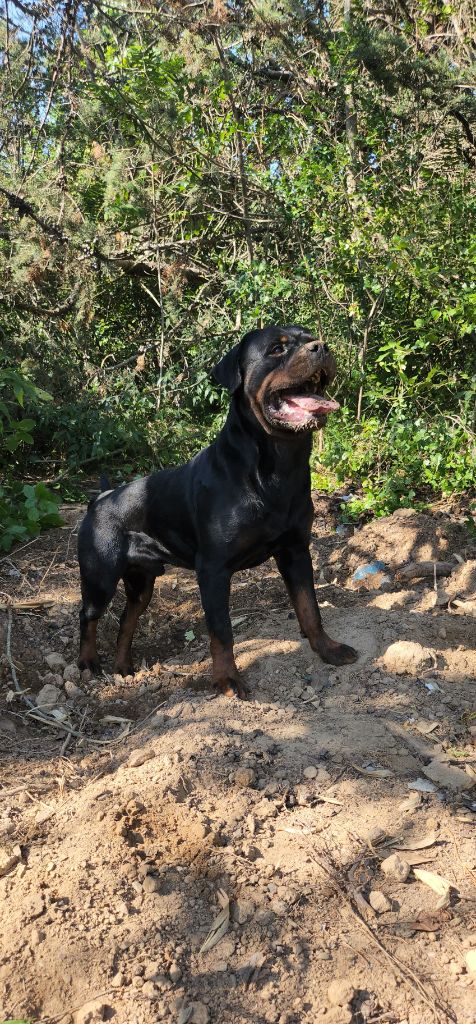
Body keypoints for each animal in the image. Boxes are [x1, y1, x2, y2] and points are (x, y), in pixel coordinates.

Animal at [77, 327, 356, 696]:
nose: (321, 347)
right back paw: (87, 662)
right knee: (88, 617)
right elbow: (221, 631)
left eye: (309, 336)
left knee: (127, 620)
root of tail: (102, 498)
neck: (278, 466)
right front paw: (227, 679)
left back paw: (123, 667)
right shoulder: (212, 569)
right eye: (277, 348)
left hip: (142, 582)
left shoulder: (295, 551)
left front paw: (328, 649)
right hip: (101, 576)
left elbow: (310, 608)